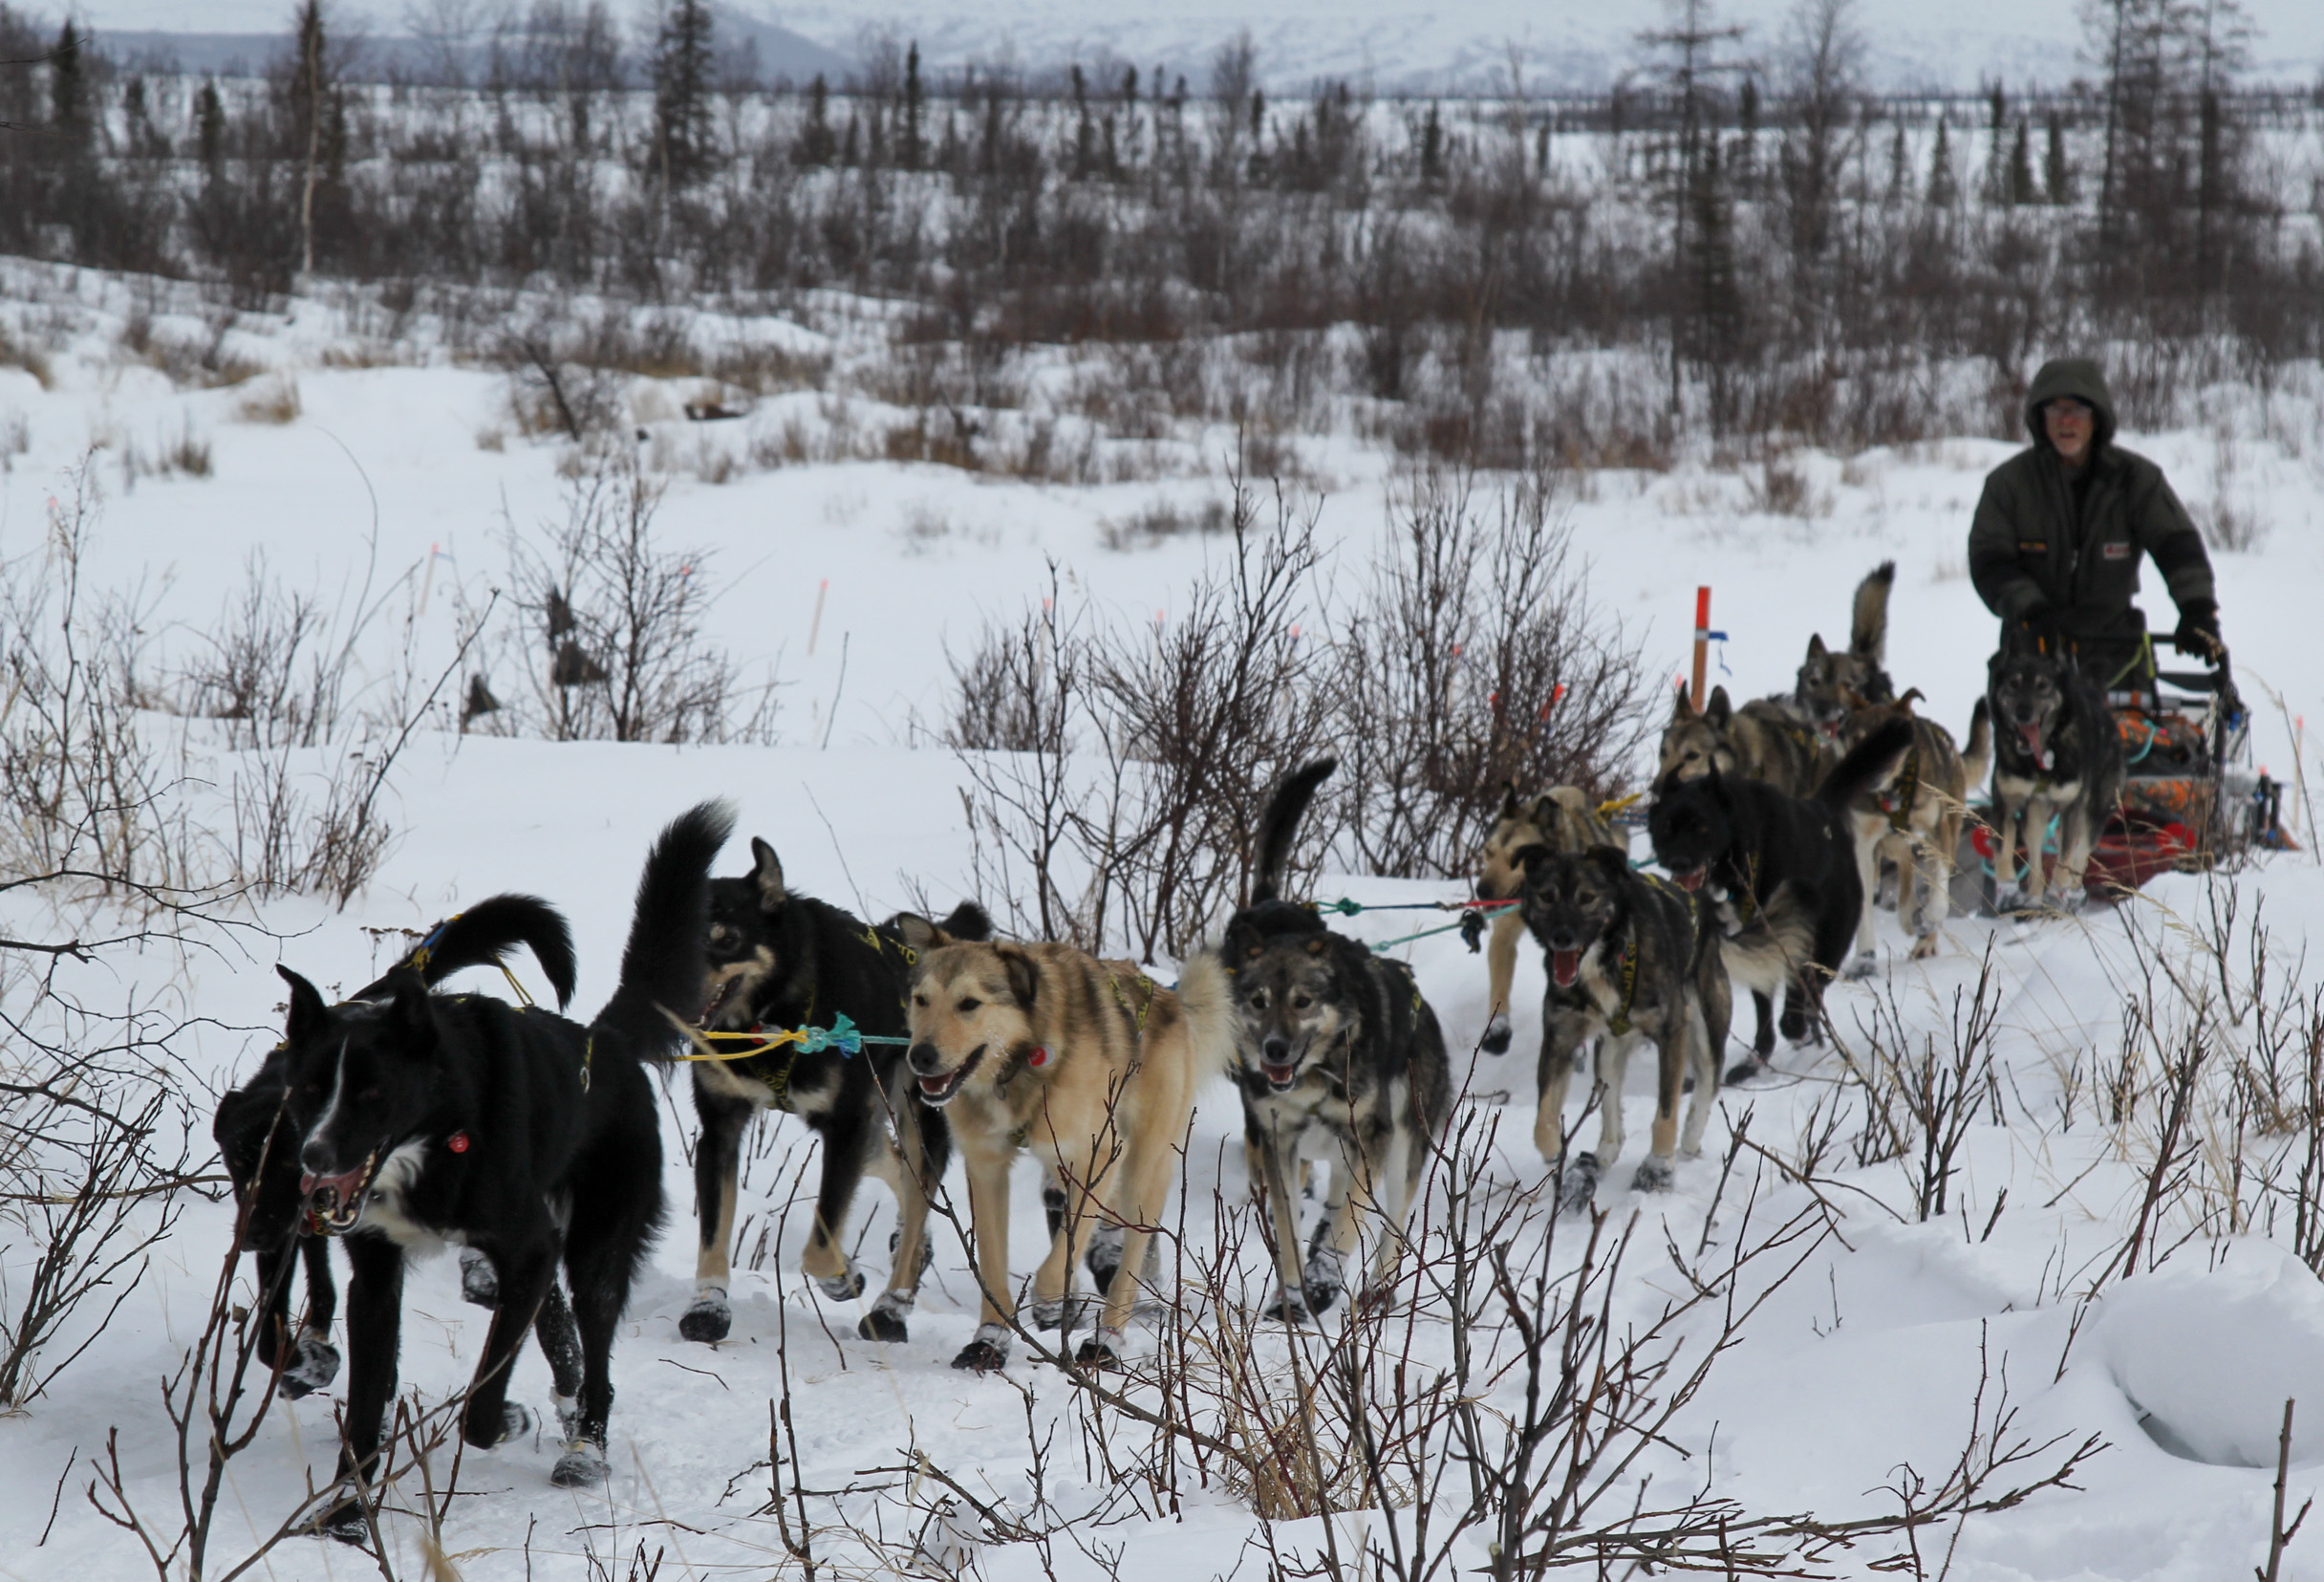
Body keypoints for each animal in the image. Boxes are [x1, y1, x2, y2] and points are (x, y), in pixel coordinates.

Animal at [216, 897, 581, 1402]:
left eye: (287, 1163)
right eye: (238, 1162)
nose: (248, 1236)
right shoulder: (282, 1225)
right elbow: (273, 1332)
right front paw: (307, 1359)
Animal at [273, 803, 724, 1532]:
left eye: (372, 1094)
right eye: (310, 1088)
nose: (313, 1157)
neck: (436, 1133)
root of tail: (606, 1042)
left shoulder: (528, 1245)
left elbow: (481, 1407)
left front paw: (509, 1416)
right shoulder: (377, 1275)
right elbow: (367, 1403)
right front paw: (346, 1506)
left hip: (594, 1246)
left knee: (596, 1350)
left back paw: (584, 1448)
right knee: (557, 1327)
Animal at [678, 832, 990, 1337]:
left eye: (729, 941)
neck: (774, 1018)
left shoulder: (844, 1125)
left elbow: (820, 1247)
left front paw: (844, 1278)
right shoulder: (720, 1129)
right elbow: (713, 1233)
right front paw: (707, 1305)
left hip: (914, 1115)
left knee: (917, 1193)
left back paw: (891, 1306)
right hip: (873, 1126)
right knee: (896, 1168)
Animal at [1227, 757, 1440, 1329]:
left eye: (1303, 1001)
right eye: (1258, 1000)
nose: (1275, 1050)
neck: (1314, 1074)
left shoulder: (1371, 1137)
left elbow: (1349, 1222)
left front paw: (1323, 1279)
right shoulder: (1277, 1142)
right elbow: (1287, 1228)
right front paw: (1296, 1290)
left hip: (1401, 1142)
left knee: (1391, 1222)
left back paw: (1380, 1289)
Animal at [1654, 720, 1905, 1077]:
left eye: (1700, 827)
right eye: (1667, 827)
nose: (1679, 862)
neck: (1741, 854)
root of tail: (1822, 809)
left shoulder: (1793, 925)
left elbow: (1796, 989)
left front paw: (1795, 1026)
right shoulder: (1751, 941)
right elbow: (1763, 998)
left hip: (1830, 939)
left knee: (1812, 987)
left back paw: (1804, 1027)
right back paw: (1760, 1054)